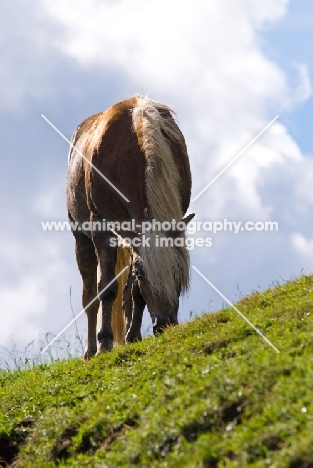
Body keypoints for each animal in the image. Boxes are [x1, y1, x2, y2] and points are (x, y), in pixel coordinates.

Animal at [66, 95, 193, 358]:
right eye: (142, 273)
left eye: (179, 271)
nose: (164, 324)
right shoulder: (102, 231)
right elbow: (106, 289)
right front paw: (104, 343)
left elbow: (133, 291)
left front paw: (132, 335)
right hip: (81, 238)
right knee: (89, 296)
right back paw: (90, 350)